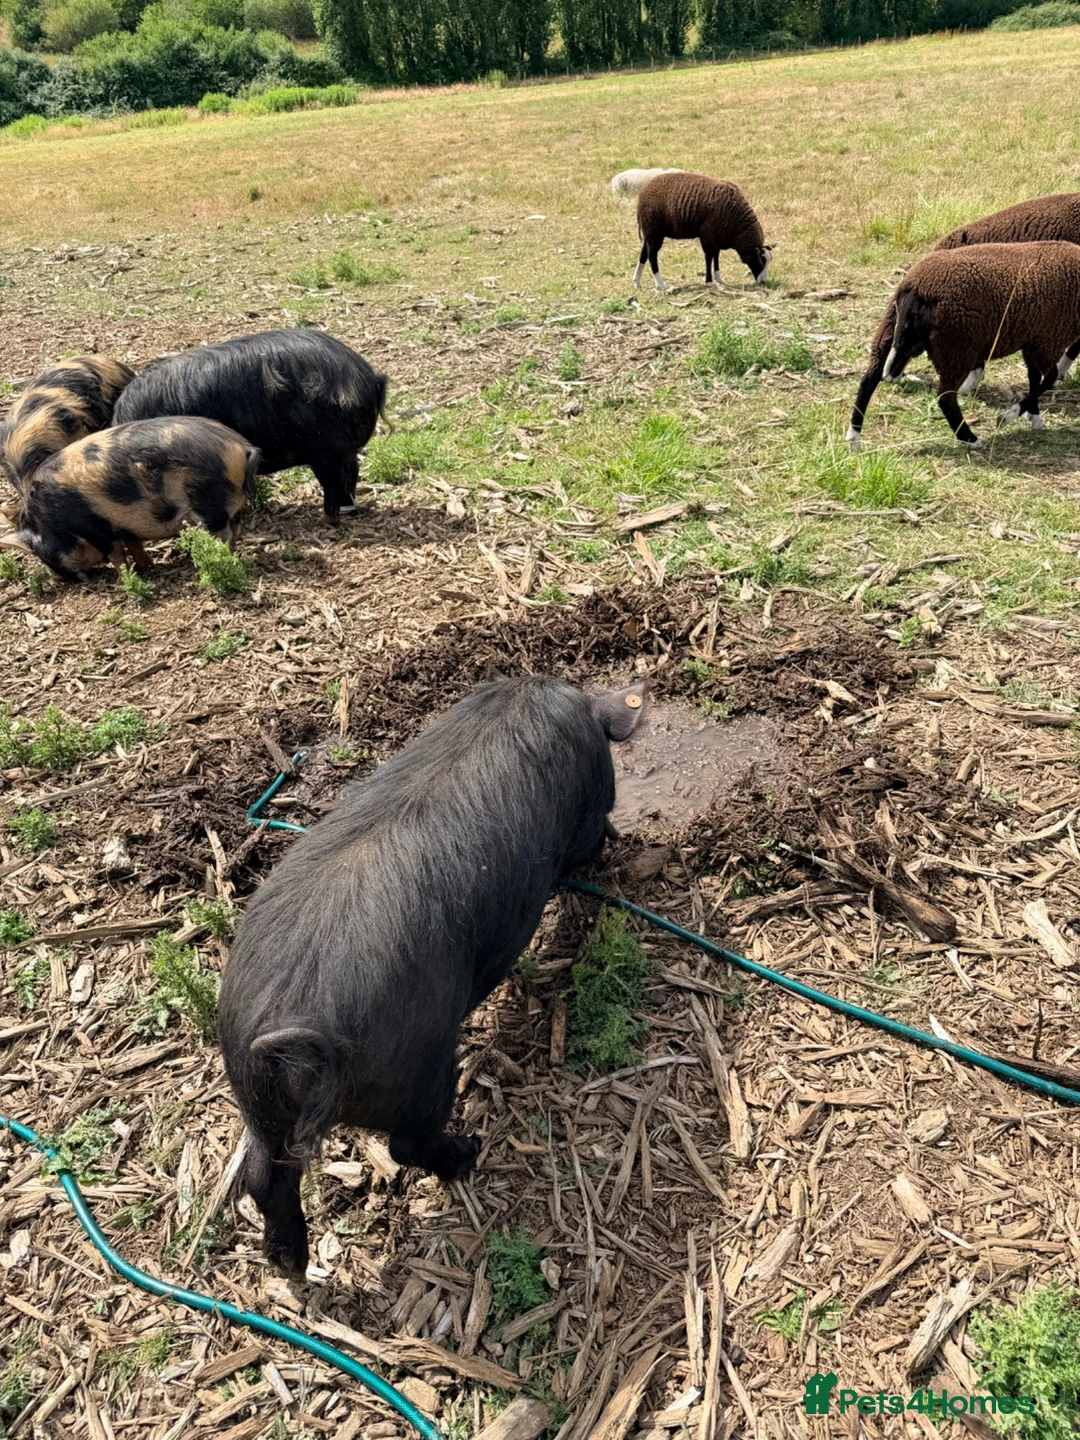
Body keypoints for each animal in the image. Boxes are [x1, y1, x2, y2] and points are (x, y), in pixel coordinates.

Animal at [2, 417, 258, 580]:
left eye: (40, 551)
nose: (56, 578)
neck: (51, 521)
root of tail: (240, 446)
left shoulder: (95, 527)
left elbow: (115, 553)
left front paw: (123, 580)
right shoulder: (123, 524)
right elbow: (134, 544)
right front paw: (146, 567)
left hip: (208, 503)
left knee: (223, 534)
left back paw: (219, 559)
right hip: (234, 504)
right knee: (235, 530)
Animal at [218, 673, 648, 1278]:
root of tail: (286, 1033)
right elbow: (589, 837)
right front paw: (614, 842)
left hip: (257, 1103)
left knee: (264, 1176)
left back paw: (289, 1265)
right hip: (422, 1065)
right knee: (406, 1146)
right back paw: (468, 1150)